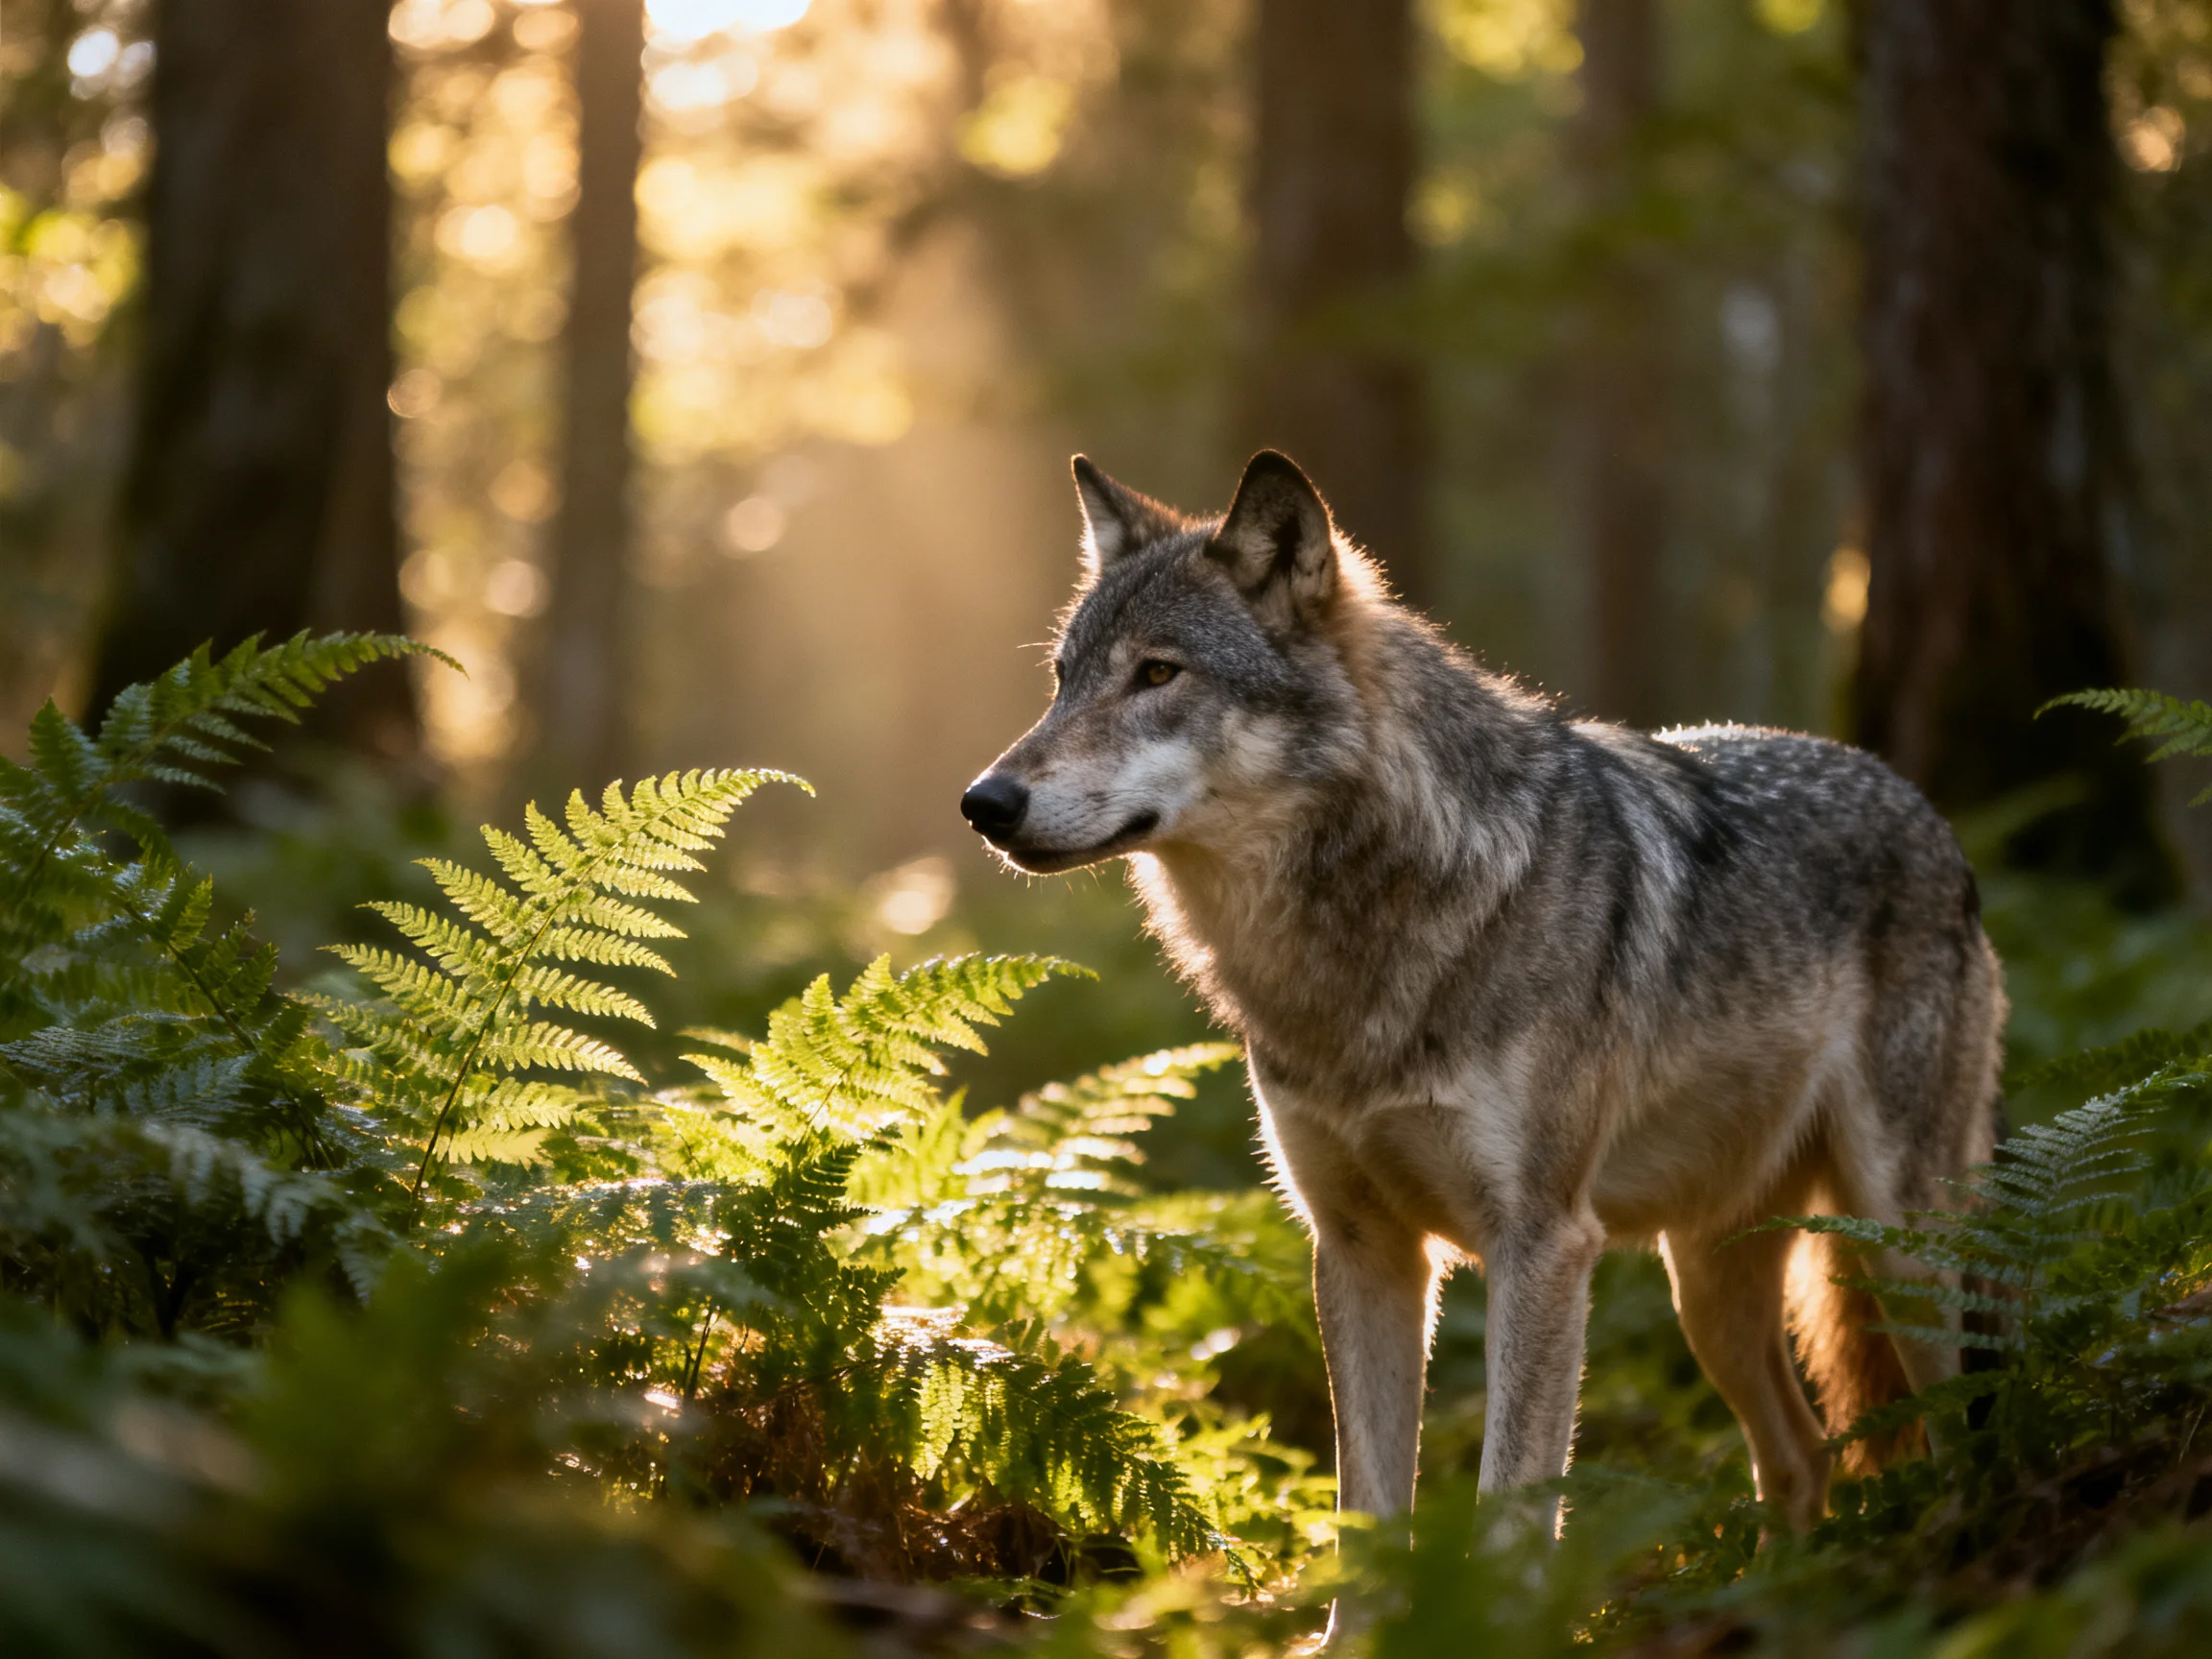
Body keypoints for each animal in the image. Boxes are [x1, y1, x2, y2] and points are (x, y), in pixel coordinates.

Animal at [960, 452, 2004, 1559]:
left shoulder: (1542, 1246)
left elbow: (1510, 1515)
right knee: (1803, 1459)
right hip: (1707, 1285)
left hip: (1902, 1243)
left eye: (1158, 674)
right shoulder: (1360, 1251)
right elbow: (1365, 1514)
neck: (1360, 947)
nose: (984, 803)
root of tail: (1922, 805)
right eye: (1063, 680)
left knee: (1963, 1430)